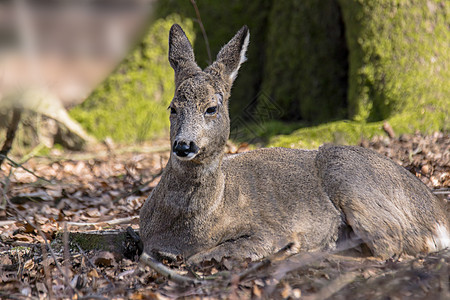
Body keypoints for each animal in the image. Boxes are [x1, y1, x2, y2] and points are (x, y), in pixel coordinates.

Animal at [139, 24, 448, 262]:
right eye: (172, 108)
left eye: (211, 108)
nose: (184, 145)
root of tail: (438, 212)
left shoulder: (266, 231)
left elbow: (208, 255)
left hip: (351, 178)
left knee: (389, 245)